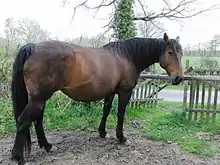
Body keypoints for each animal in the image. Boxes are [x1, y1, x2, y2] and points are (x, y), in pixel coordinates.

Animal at [11, 32, 183, 164]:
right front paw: (121, 138)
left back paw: (47, 146)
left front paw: (102, 132)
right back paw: (19, 157)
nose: (178, 78)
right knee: (23, 121)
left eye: (181, 53)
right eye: (170, 52)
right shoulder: (125, 92)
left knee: (37, 120)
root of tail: (34, 47)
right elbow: (120, 113)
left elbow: (106, 111)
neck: (127, 56)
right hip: (38, 99)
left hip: (40, 99)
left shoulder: (110, 92)